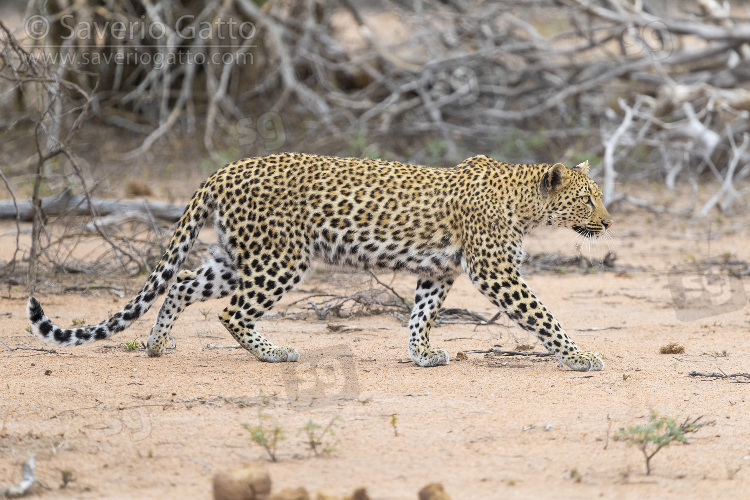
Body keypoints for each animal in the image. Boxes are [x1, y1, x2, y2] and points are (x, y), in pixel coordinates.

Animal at [27, 152, 616, 372]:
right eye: (588, 199)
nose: (608, 223)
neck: (527, 204)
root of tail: (223, 170)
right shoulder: (496, 273)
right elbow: (543, 315)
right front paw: (582, 356)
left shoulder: (438, 271)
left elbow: (421, 315)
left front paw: (422, 354)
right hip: (280, 259)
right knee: (231, 312)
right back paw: (274, 352)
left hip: (236, 256)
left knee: (184, 283)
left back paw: (156, 343)